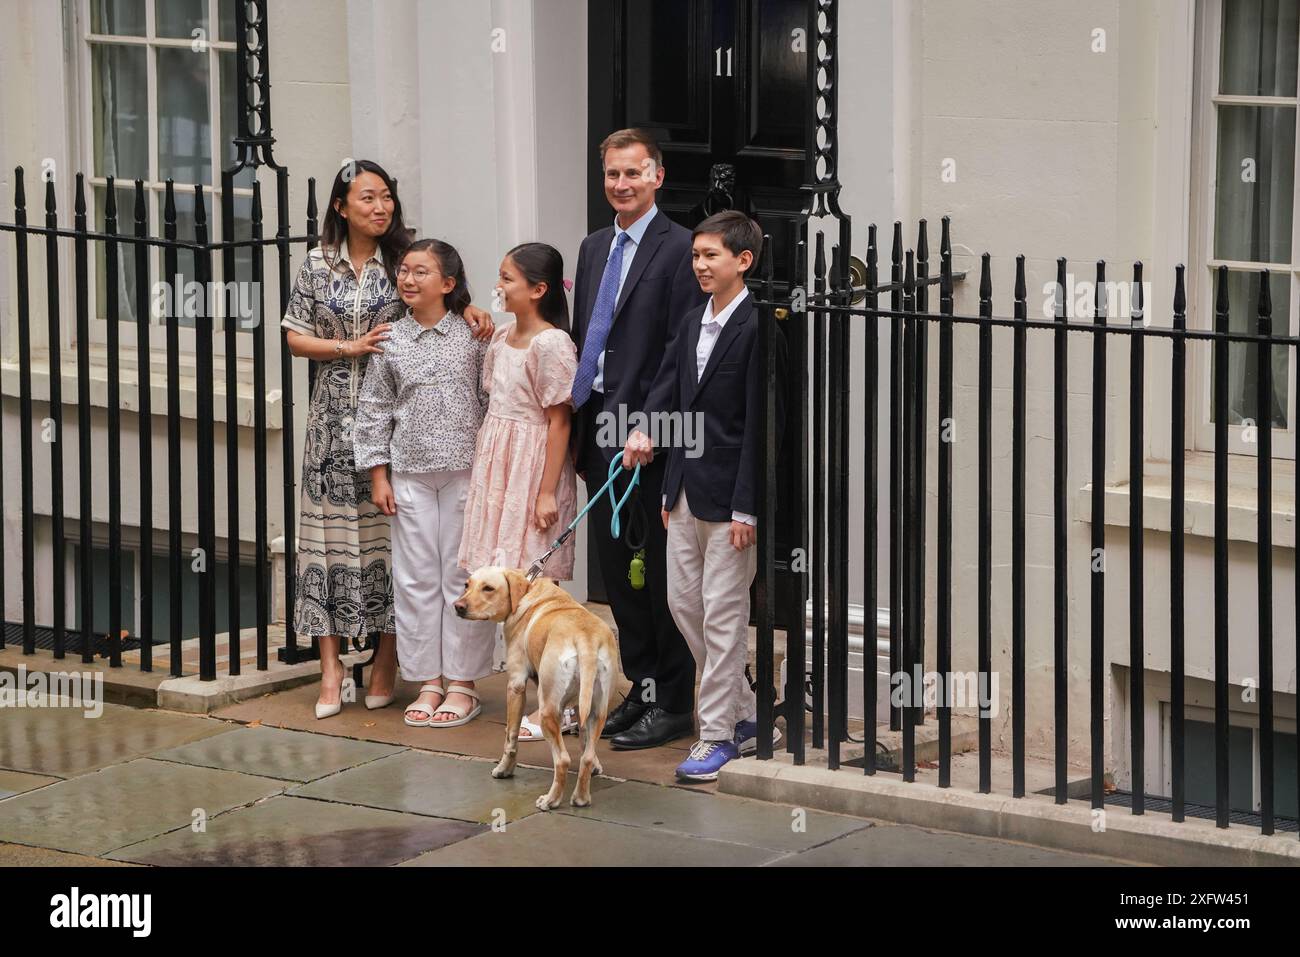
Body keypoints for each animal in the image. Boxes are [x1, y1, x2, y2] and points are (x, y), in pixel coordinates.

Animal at [454, 566, 616, 806]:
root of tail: (585, 638)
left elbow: (510, 738)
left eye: (488, 588)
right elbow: (585, 743)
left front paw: (504, 770)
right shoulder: (582, 706)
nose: (458, 606)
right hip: (597, 711)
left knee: (563, 760)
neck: (528, 590)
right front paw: (595, 766)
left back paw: (551, 800)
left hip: (548, 709)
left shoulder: (515, 687)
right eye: (467, 585)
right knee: (585, 756)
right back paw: (580, 798)